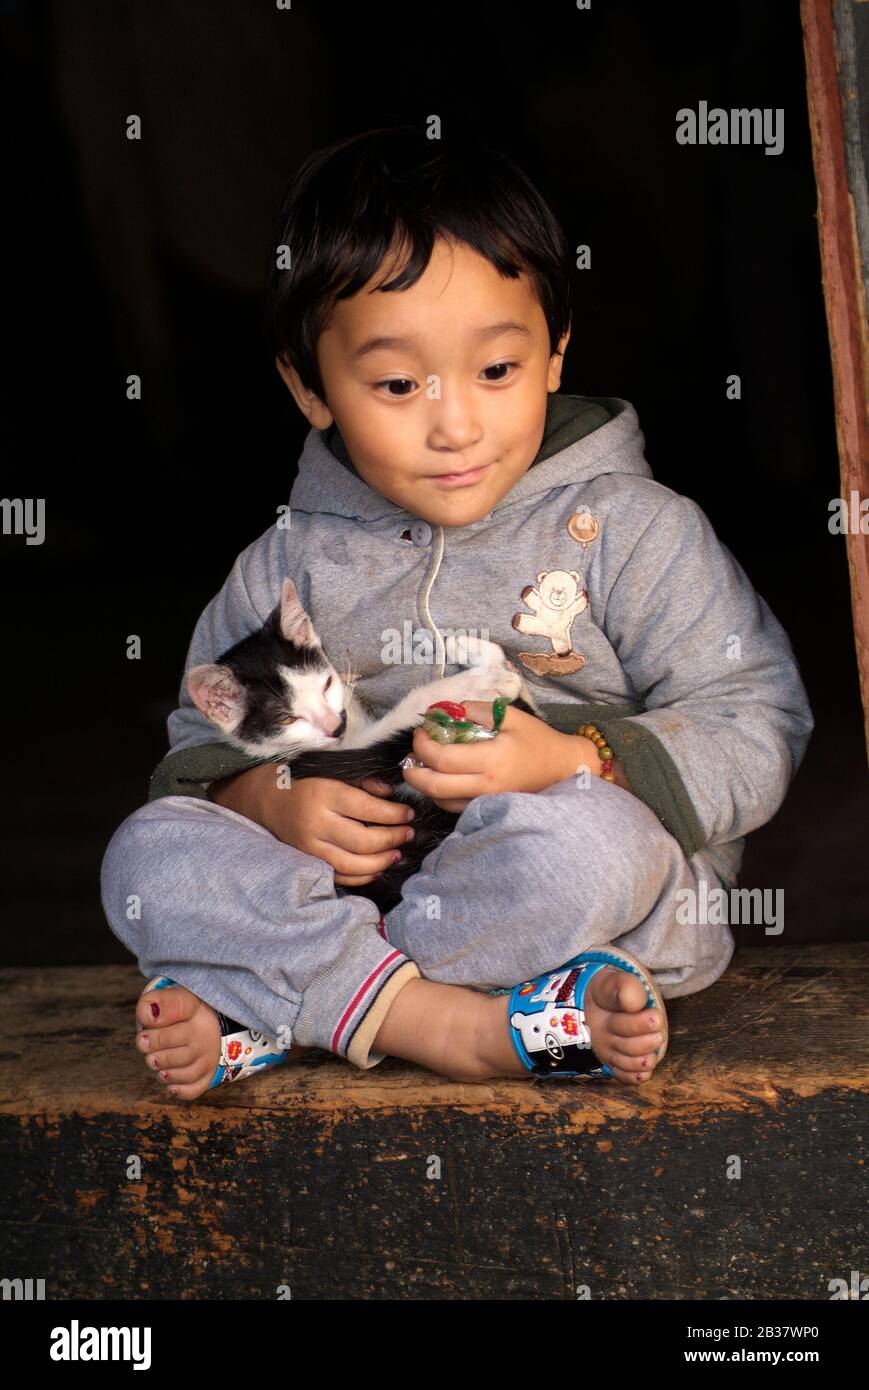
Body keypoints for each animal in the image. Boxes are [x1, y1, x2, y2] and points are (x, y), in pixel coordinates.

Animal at [186, 575, 539, 911]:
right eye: (287, 719)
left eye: (327, 684)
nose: (335, 726)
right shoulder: (342, 752)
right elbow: (405, 715)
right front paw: (484, 680)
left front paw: (456, 644)